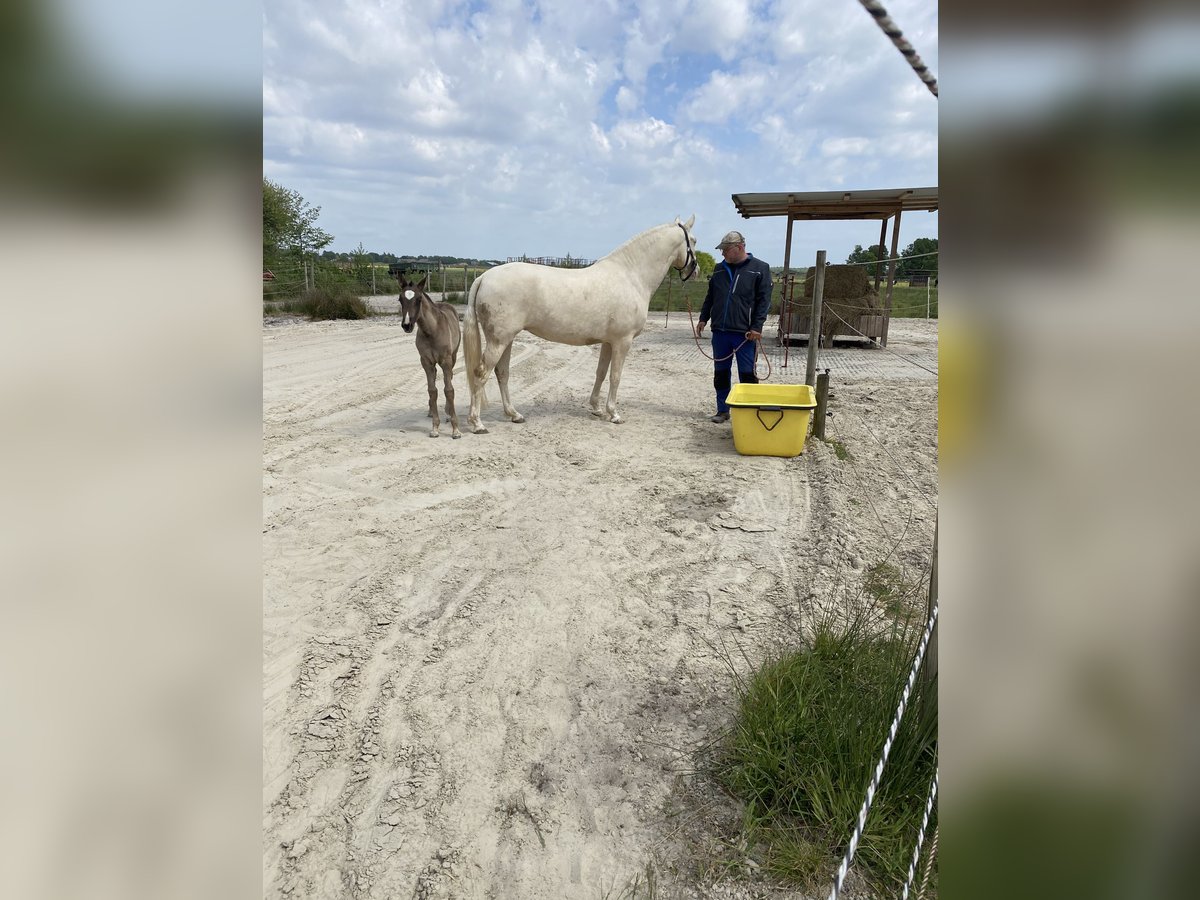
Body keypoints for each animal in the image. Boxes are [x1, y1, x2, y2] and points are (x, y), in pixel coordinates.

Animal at [396, 273, 463, 439]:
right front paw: (435, 427)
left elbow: (449, 390)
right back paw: (431, 411)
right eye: (400, 299)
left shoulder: (446, 361)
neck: (432, 331)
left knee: (449, 378)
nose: (407, 325)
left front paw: (455, 430)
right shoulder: (426, 362)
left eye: (419, 299)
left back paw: (447, 412)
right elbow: (432, 390)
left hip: (453, 356)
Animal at [462, 215, 697, 433]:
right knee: (481, 374)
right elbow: (615, 376)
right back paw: (477, 423)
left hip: (506, 339)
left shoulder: (608, 342)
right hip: (498, 341)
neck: (631, 276)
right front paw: (614, 414)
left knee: (502, 373)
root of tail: (484, 277)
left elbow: (601, 373)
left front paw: (597, 408)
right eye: (693, 240)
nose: (695, 272)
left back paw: (514, 414)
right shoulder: (623, 342)